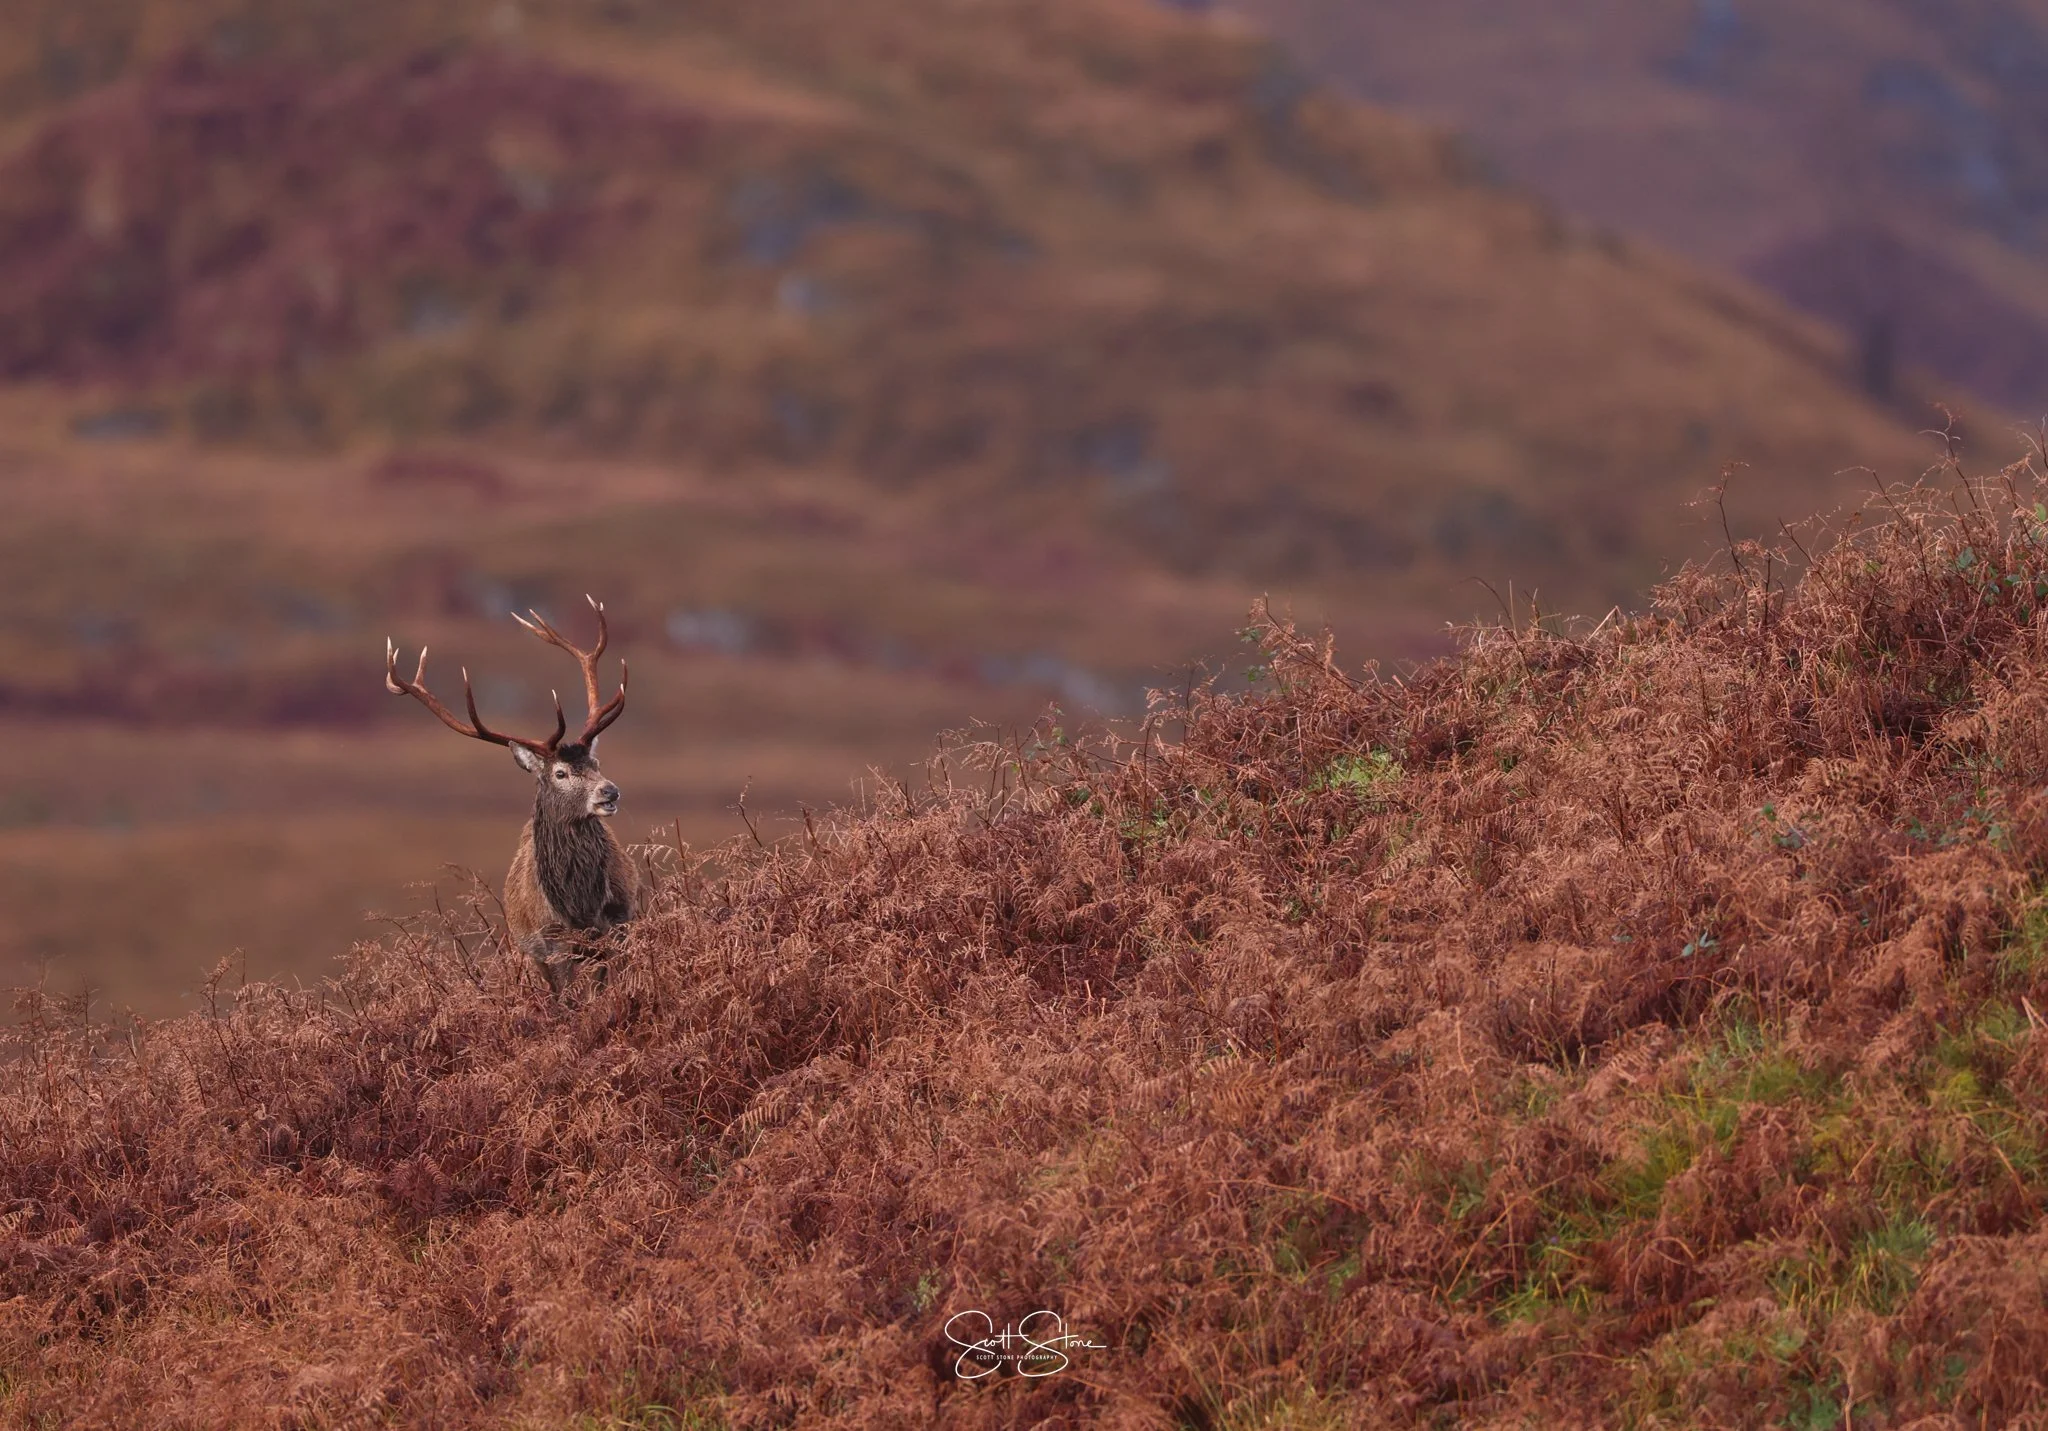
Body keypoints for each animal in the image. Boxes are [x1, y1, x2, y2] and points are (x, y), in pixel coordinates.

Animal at [384, 595, 642, 995]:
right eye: (560, 773)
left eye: (596, 762)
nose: (609, 791)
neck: (579, 908)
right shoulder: (552, 946)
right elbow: (569, 1000)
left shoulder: (619, 926)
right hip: (531, 951)